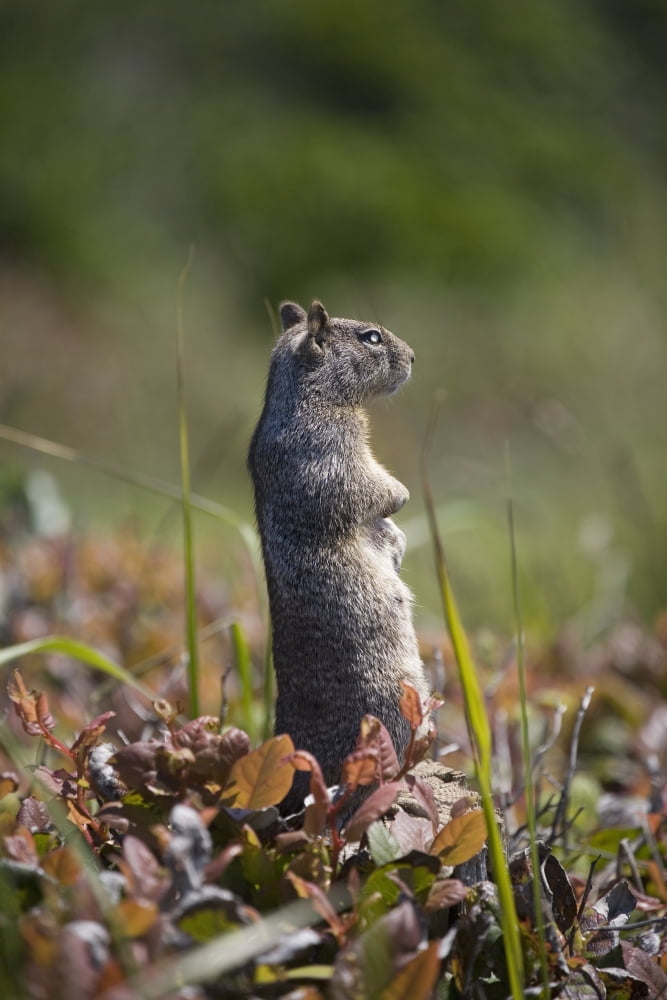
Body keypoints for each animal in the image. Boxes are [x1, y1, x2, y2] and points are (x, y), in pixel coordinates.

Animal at [248, 300, 431, 812]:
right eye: (371, 337)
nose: (414, 357)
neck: (309, 393)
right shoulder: (331, 451)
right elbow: (371, 490)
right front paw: (401, 497)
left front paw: (396, 542)